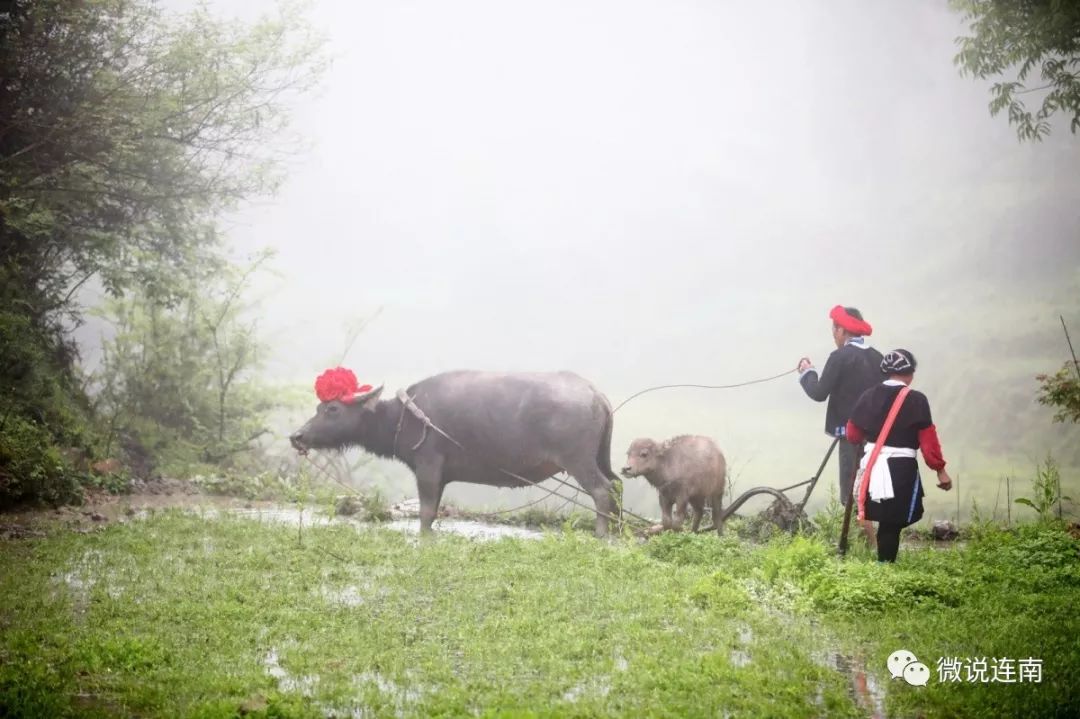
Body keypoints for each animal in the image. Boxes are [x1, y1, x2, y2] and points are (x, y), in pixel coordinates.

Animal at [291, 369, 622, 531]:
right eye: (319, 407)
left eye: (333, 409)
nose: (297, 436)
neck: (405, 416)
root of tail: (596, 395)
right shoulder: (440, 476)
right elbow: (433, 510)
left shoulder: (428, 467)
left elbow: (426, 512)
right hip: (600, 458)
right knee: (616, 485)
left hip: (578, 461)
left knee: (601, 490)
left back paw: (602, 534)